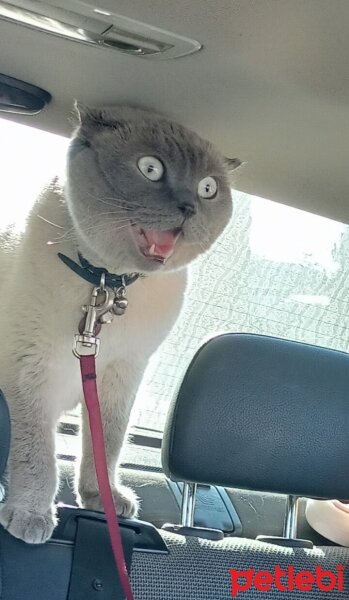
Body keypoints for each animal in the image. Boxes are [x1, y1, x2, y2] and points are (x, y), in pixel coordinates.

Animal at [0, 103, 238, 544]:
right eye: (151, 168)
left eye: (208, 189)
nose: (189, 207)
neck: (107, 282)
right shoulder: (29, 370)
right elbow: (37, 453)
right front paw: (32, 515)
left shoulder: (122, 374)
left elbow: (106, 443)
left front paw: (103, 499)